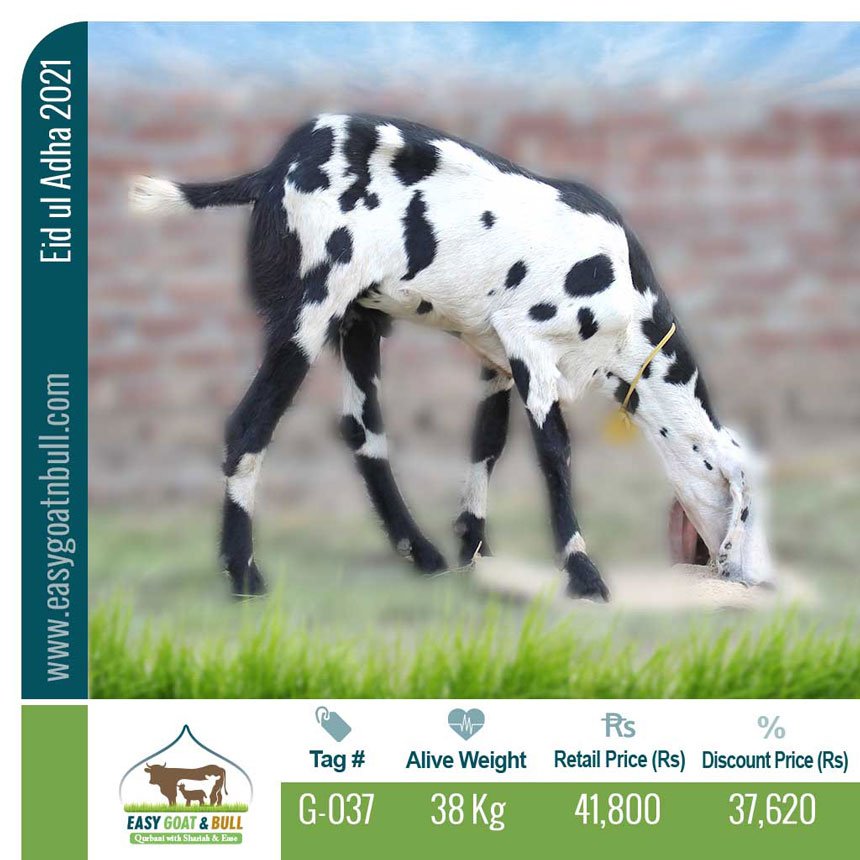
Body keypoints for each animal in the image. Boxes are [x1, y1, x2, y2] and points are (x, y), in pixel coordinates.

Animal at [130, 113, 773, 600]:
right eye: (747, 503)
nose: (760, 579)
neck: (625, 298)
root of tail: (274, 170)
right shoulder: (530, 347)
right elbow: (555, 455)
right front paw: (582, 573)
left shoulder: (497, 359)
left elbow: (487, 443)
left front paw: (474, 550)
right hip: (308, 311)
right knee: (250, 427)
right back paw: (244, 574)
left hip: (358, 321)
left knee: (364, 432)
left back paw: (422, 553)